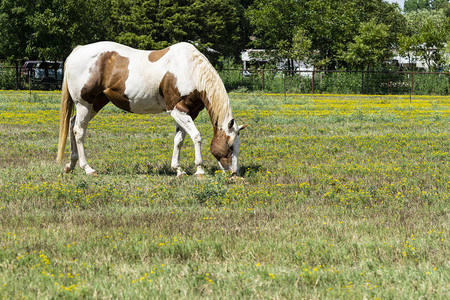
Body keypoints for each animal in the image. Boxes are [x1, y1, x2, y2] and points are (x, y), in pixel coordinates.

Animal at [56, 41, 248, 177]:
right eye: (230, 146)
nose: (234, 173)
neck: (190, 69)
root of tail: (78, 51)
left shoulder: (189, 113)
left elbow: (179, 140)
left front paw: (178, 170)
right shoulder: (176, 110)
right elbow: (196, 136)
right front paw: (199, 170)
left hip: (96, 103)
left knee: (72, 125)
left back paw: (70, 165)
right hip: (84, 103)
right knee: (79, 131)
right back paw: (88, 168)